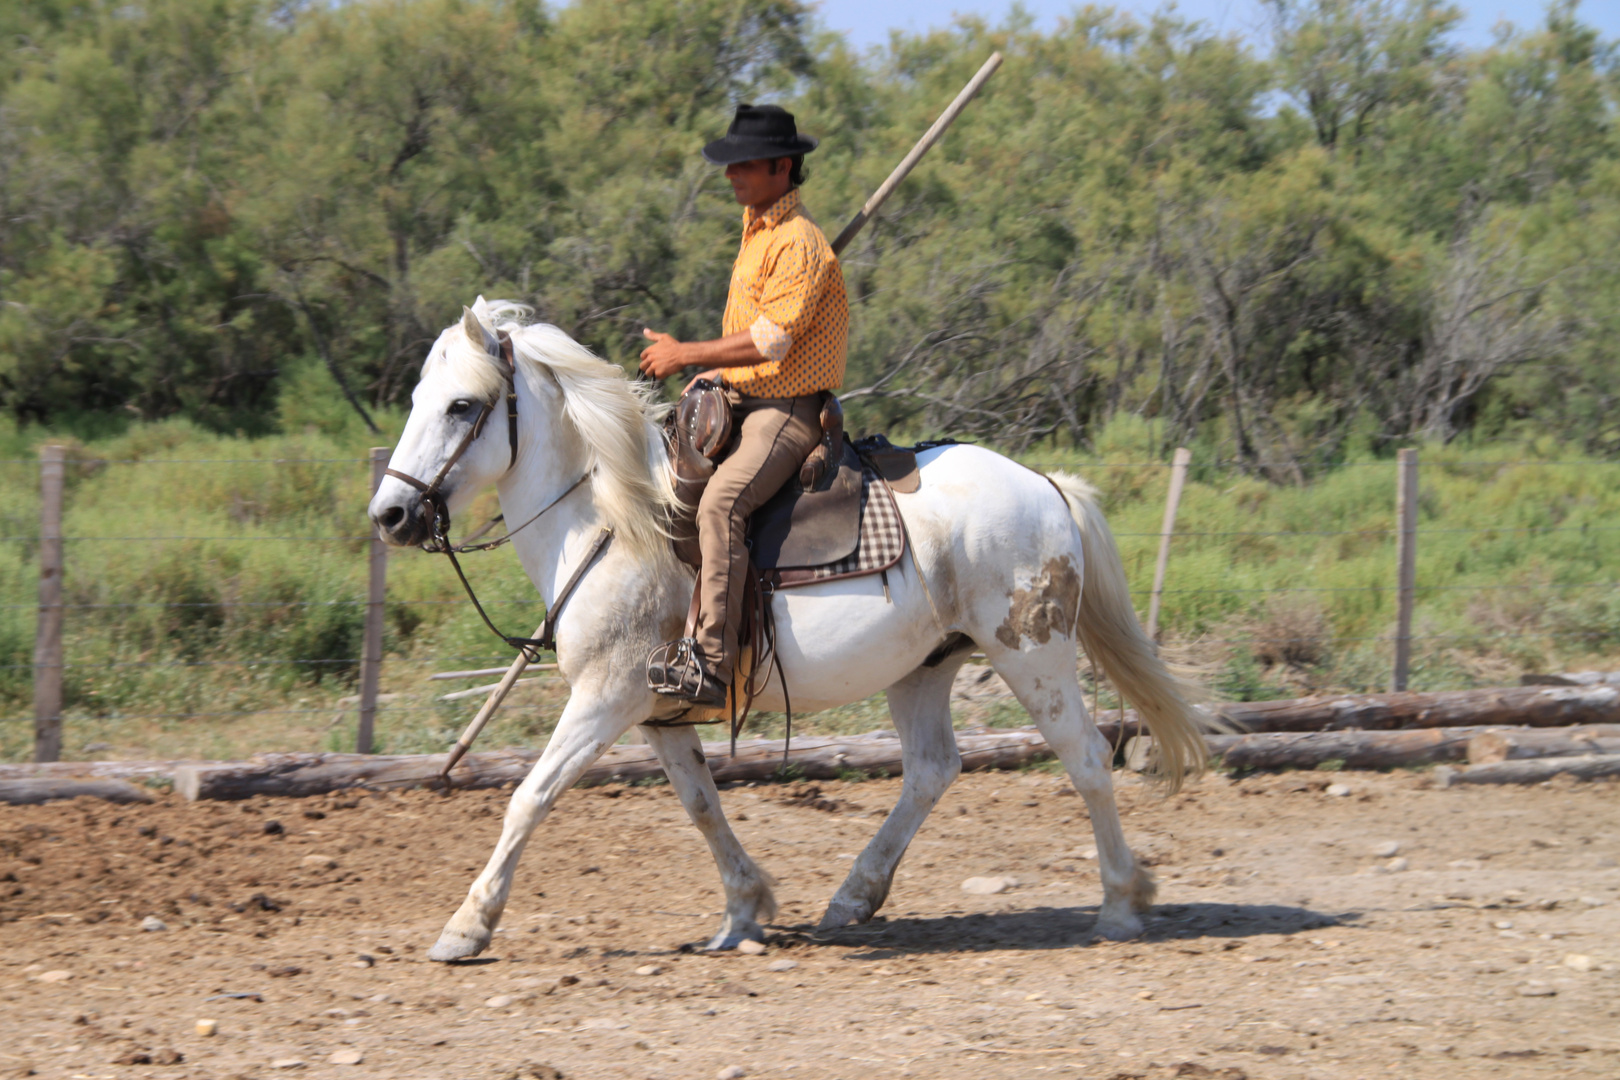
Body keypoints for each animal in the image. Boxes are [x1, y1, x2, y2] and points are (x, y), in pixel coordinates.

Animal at [372, 297, 1211, 965]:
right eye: (418, 398)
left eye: (461, 406)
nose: (391, 514)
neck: (613, 520)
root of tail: (1044, 483)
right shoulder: (656, 714)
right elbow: (702, 805)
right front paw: (745, 909)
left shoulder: (604, 700)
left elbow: (531, 797)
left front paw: (465, 928)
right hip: (926, 667)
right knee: (933, 769)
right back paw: (855, 895)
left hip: (1032, 653)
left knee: (1085, 758)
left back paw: (1120, 903)